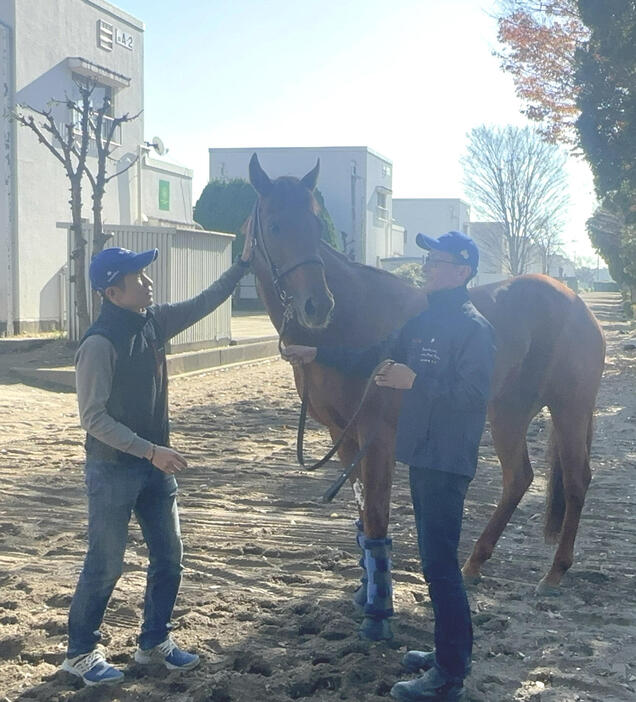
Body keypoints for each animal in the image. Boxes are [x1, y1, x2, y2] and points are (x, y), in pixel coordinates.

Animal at [245, 155, 608, 644]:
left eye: (316, 224)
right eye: (276, 224)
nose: (317, 305)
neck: (351, 319)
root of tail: (576, 302)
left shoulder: (376, 435)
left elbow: (377, 514)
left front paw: (379, 613)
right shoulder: (343, 433)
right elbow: (361, 512)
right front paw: (364, 592)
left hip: (569, 408)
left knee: (576, 480)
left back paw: (554, 573)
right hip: (508, 411)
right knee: (519, 478)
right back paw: (474, 563)